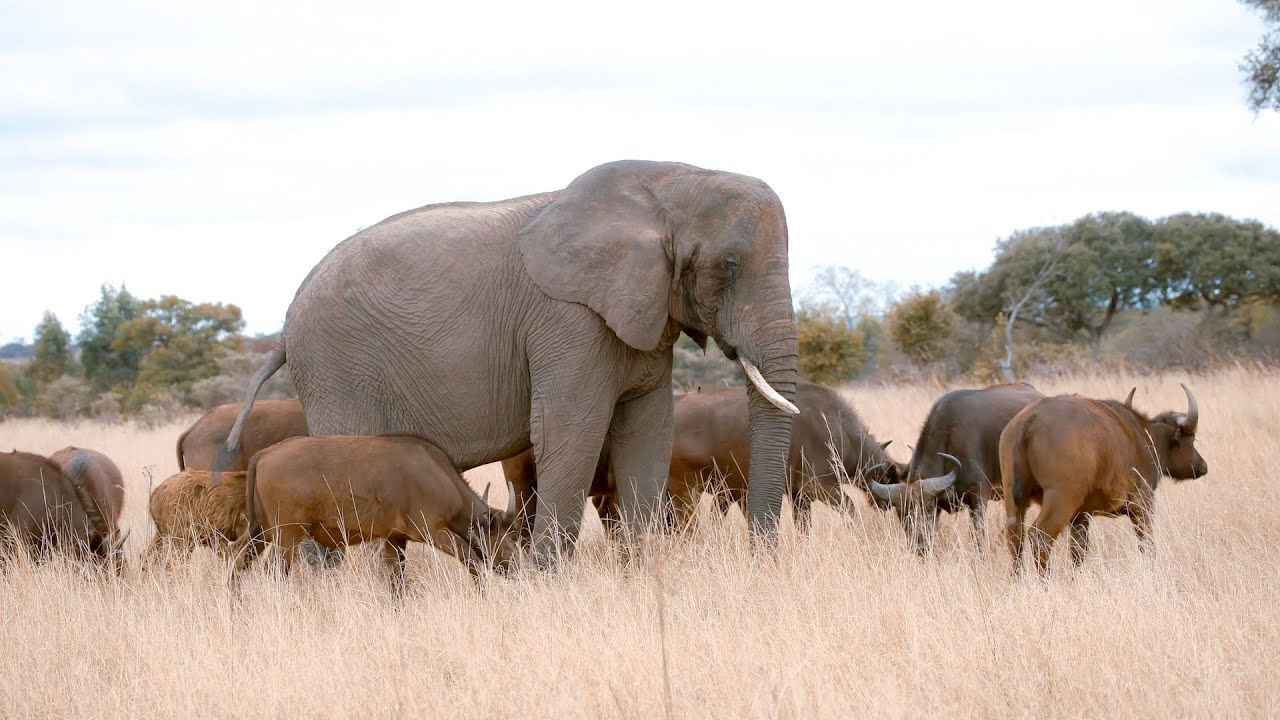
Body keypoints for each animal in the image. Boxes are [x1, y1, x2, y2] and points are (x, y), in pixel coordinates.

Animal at [220, 159, 798, 558]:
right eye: (728, 265)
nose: (761, 559)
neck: (670, 181)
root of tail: (287, 323)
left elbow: (647, 431)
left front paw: (644, 572)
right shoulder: (567, 321)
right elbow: (571, 431)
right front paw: (547, 580)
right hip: (337, 368)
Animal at [235, 435, 519, 586]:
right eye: (505, 539)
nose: (519, 569)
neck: (436, 474)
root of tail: (264, 454)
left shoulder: (395, 539)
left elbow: (396, 579)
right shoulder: (434, 532)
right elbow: (472, 560)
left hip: (262, 532)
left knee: (237, 563)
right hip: (287, 535)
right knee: (274, 571)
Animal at [998, 381, 1208, 571]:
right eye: (1192, 439)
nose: (1203, 467)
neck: (1145, 437)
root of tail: (1030, 419)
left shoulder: (1081, 516)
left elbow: (1078, 552)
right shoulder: (1142, 505)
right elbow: (1147, 545)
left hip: (1014, 499)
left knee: (1015, 537)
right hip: (1061, 499)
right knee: (1040, 535)